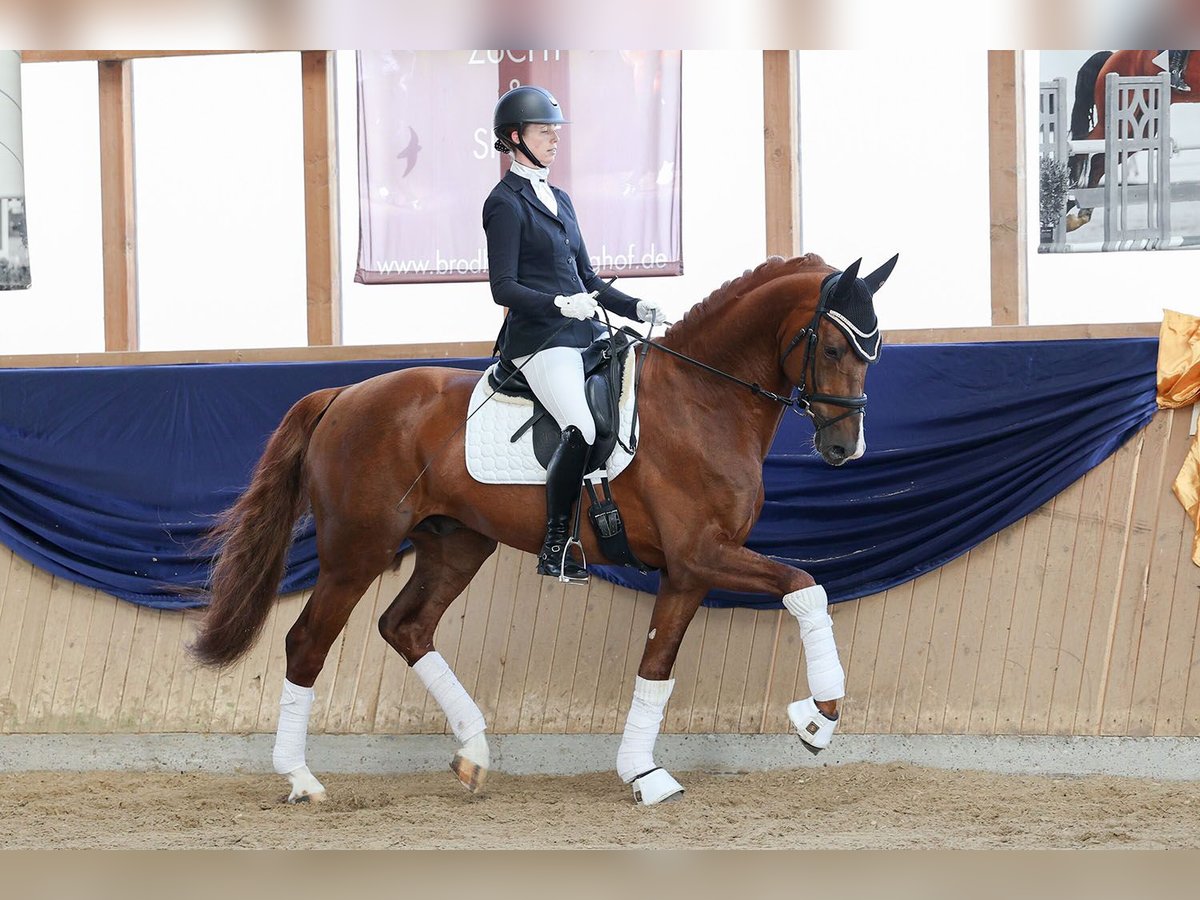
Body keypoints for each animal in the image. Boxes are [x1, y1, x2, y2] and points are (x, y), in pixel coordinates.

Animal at [191, 252, 898, 807]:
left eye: (876, 350)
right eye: (833, 347)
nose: (846, 448)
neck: (702, 400)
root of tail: (341, 395)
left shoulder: (688, 569)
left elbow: (657, 666)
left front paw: (643, 774)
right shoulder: (704, 555)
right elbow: (805, 586)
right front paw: (818, 718)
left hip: (456, 544)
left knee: (407, 626)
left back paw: (474, 753)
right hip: (354, 550)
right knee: (307, 642)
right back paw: (301, 779)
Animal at [1066, 50, 1197, 230]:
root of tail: (1111, 58)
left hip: (1137, 129)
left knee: (1099, 161)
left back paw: (1082, 212)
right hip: (1119, 119)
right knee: (1083, 145)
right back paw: (1070, 197)